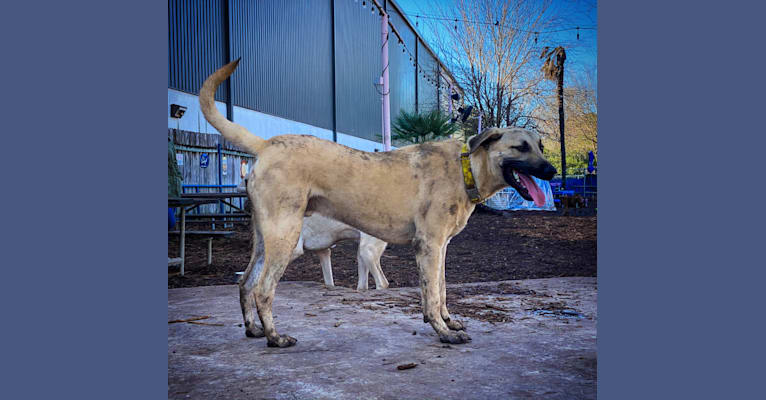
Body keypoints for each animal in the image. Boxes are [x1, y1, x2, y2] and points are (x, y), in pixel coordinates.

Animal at [201, 59, 556, 346]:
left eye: (540, 146)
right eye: (521, 147)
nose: (552, 171)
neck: (464, 168)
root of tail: (267, 143)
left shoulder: (441, 248)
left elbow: (441, 289)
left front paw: (447, 320)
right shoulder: (428, 246)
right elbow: (431, 294)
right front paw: (442, 331)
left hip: (266, 238)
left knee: (246, 282)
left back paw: (254, 329)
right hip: (285, 237)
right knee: (263, 289)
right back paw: (275, 337)